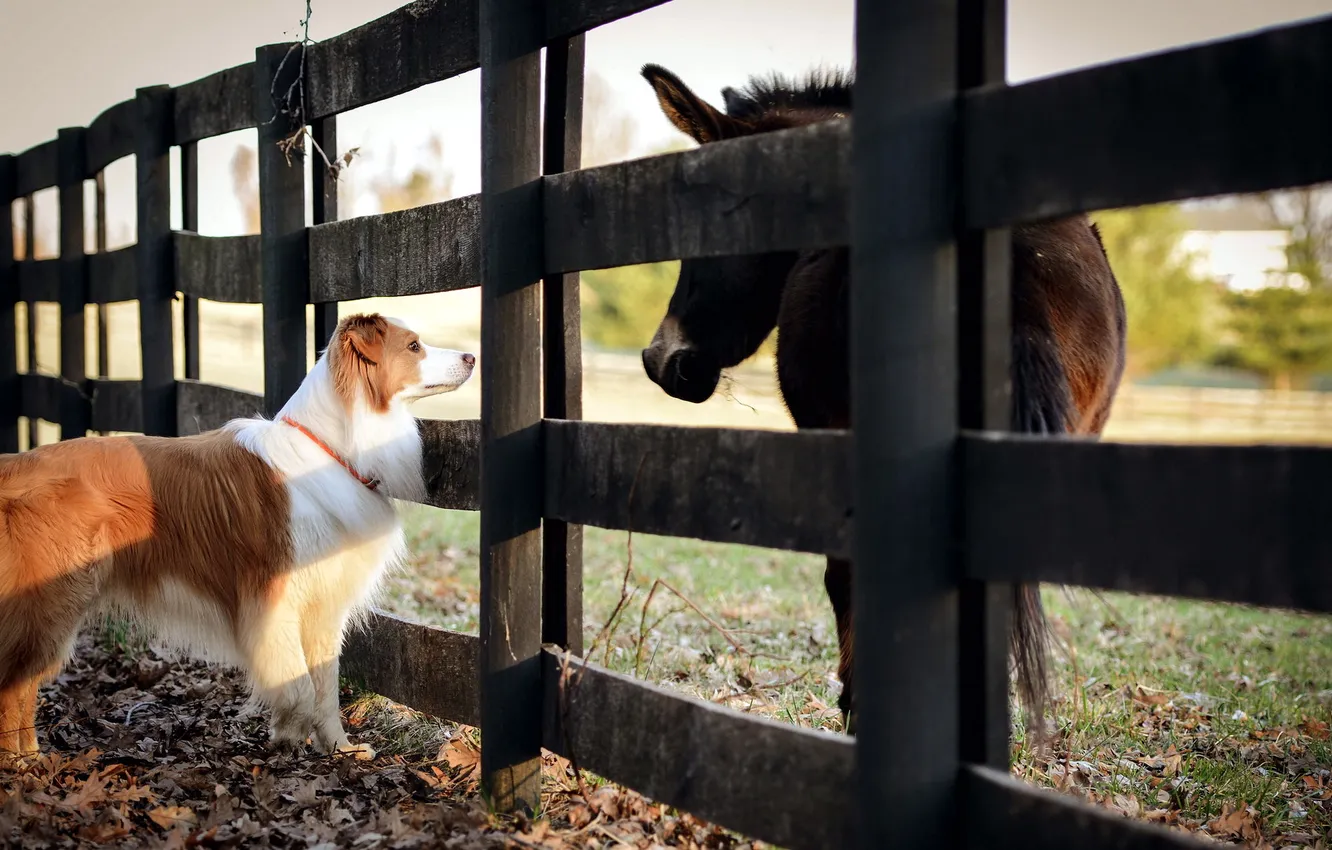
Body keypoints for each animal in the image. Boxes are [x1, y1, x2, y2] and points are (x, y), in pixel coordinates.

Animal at [0, 317, 476, 762]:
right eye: (413, 346)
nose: (472, 357)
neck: (331, 450)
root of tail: (16, 465)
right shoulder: (273, 598)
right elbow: (300, 686)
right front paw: (288, 733)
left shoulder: (322, 602)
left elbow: (325, 686)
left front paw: (338, 748)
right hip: (52, 605)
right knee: (13, 689)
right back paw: (23, 767)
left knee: (21, 689)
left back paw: (31, 758)